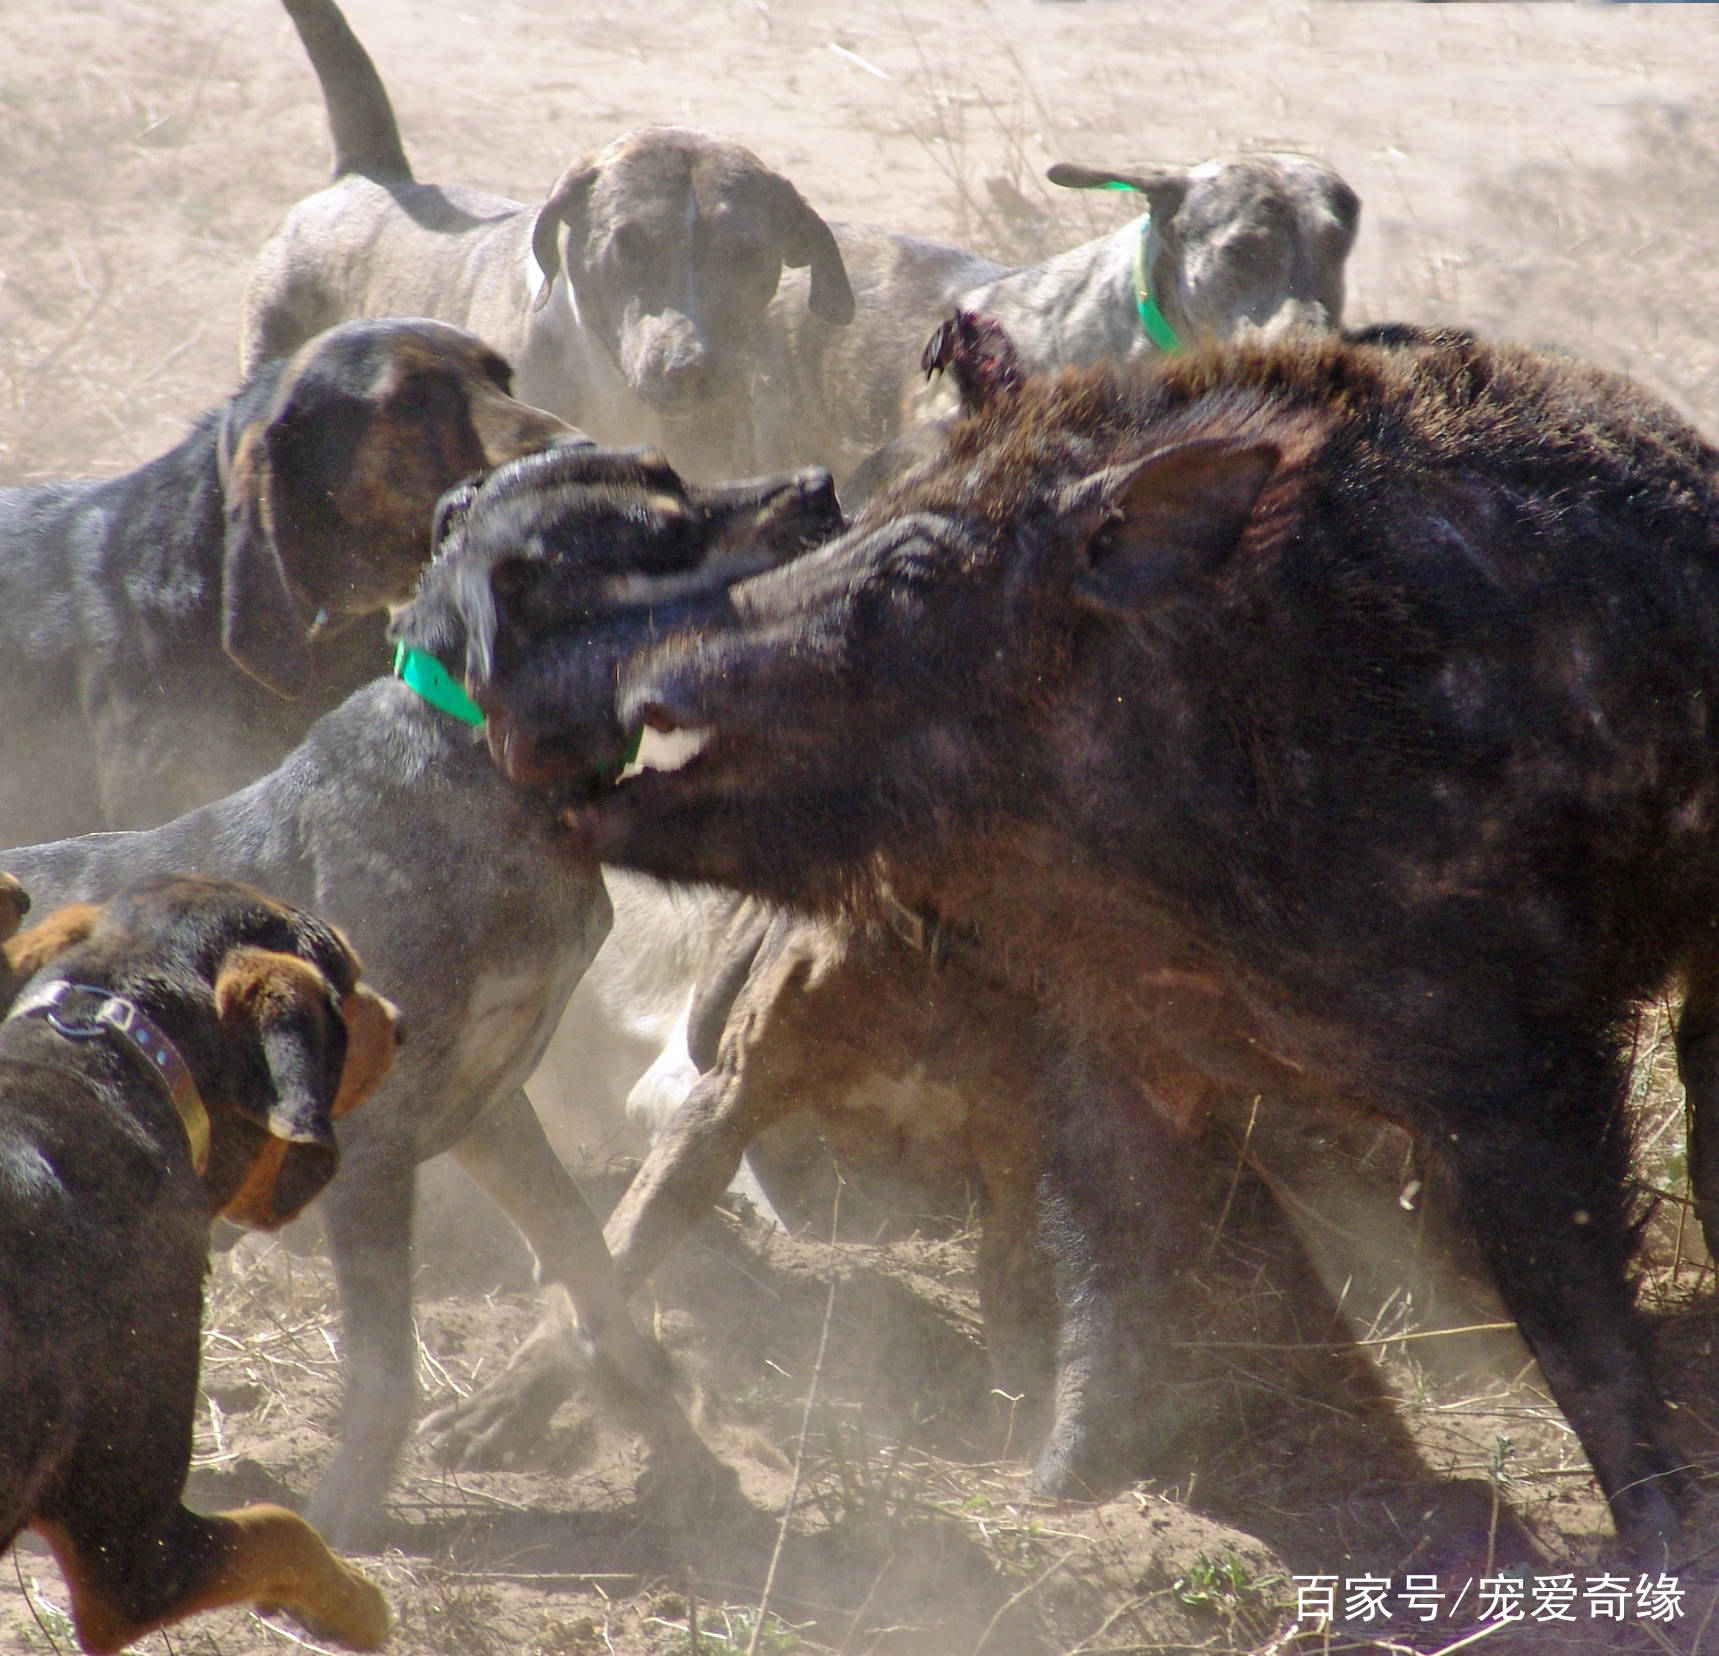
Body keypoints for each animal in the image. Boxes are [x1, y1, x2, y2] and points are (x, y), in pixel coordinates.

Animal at [3, 443, 842, 1554]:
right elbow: (388, 1365)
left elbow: (599, 1292)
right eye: (661, 534)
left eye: (672, 472)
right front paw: (349, 1507)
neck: (487, 765)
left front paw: (689, 1464)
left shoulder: (493, 1112)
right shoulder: (375, 1144)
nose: (825, 485)